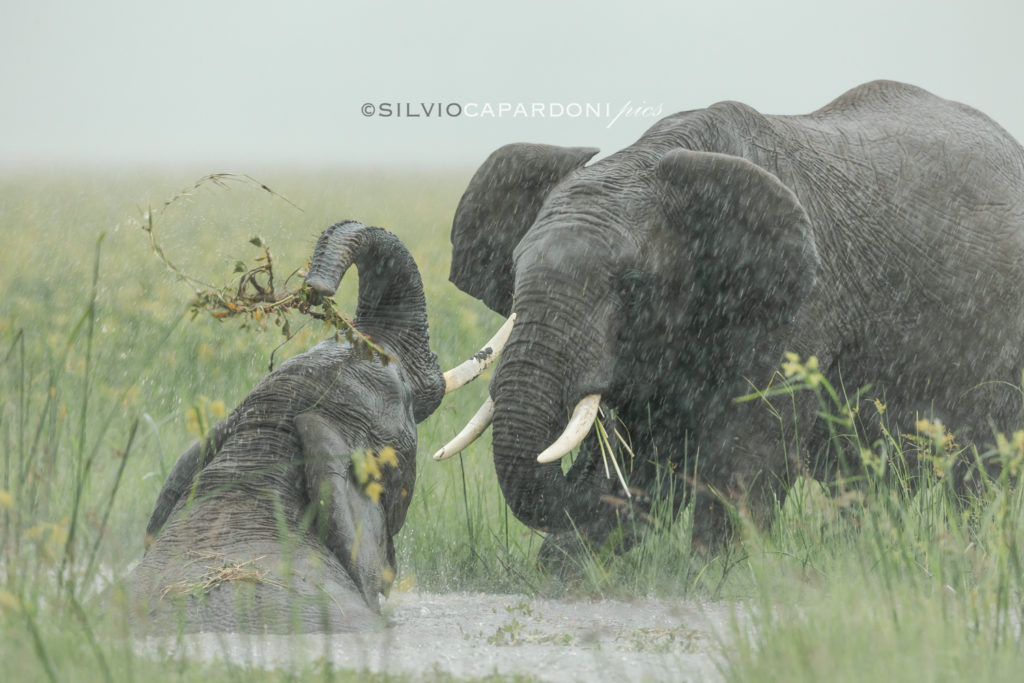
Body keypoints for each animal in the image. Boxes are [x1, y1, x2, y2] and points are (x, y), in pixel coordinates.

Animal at [438, 80, 1024, 556]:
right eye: (515, 273)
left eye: (630, 286)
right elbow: (640, 447)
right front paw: (572, 573)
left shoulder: (802, 303)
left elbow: (751, 447)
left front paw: (712, 577)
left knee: (978, 473)